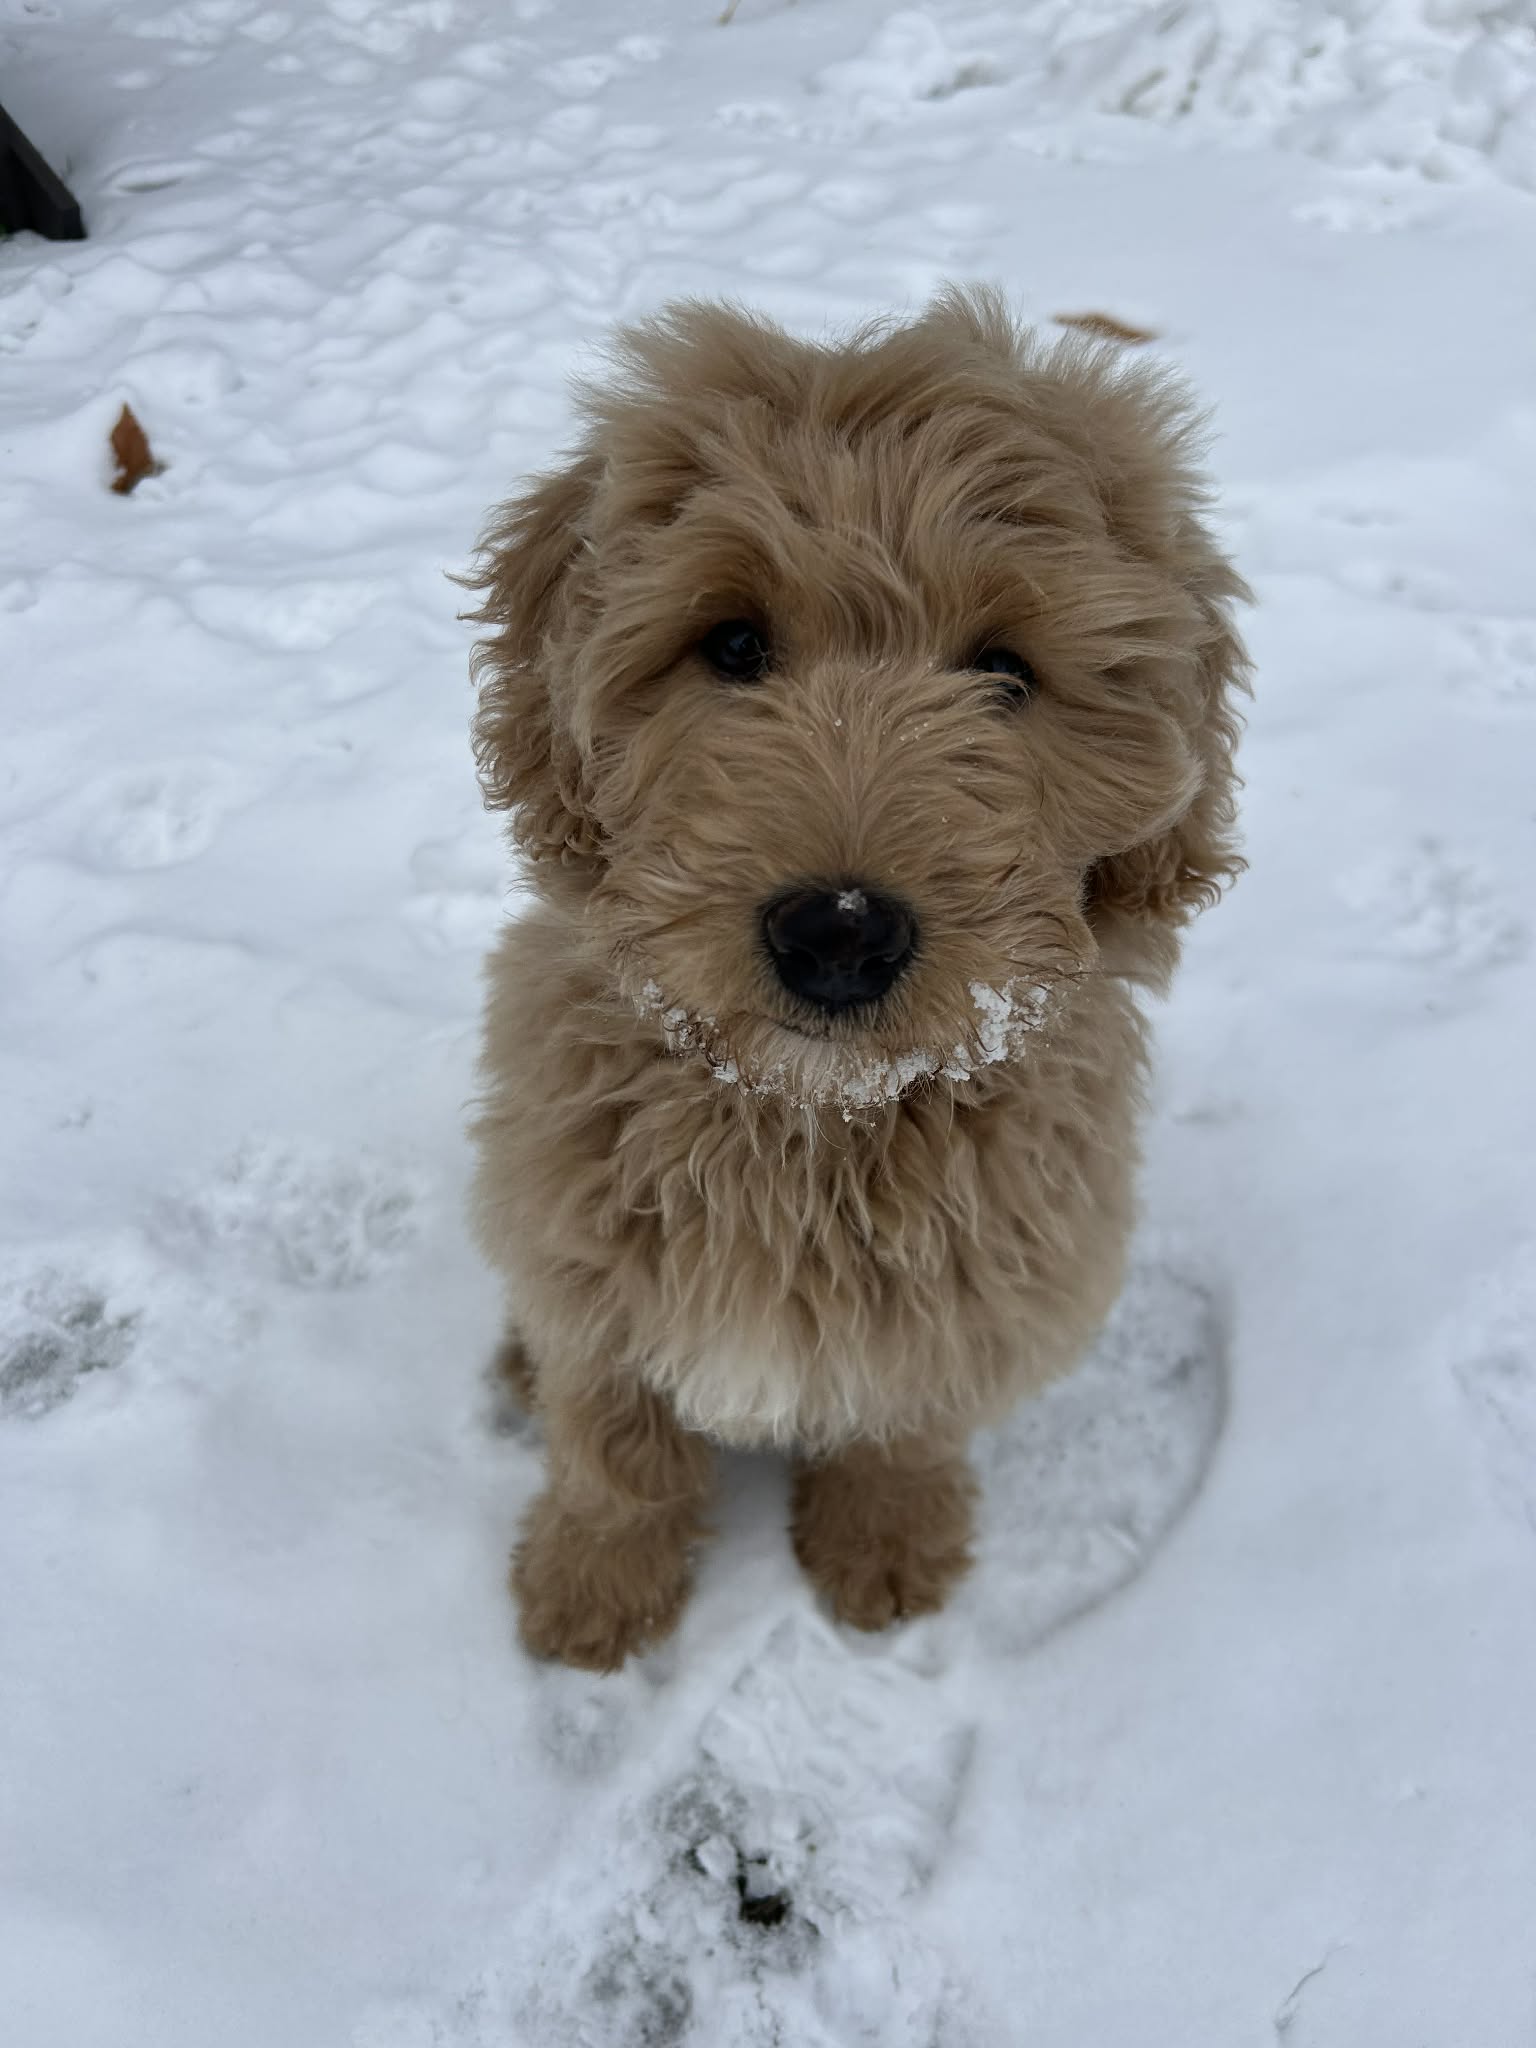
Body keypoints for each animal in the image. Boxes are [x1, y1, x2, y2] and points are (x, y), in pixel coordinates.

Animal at [465, 288, 1248, 1671]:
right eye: (732, 643)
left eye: (1005, 671)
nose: (837, 932)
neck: (810, 1125)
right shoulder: (586, 1251)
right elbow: (614, 1446)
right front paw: (592, 1590)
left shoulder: (977, 1287)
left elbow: (901, 1426)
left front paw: (886, 1548)